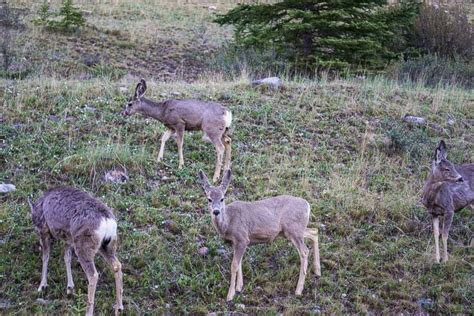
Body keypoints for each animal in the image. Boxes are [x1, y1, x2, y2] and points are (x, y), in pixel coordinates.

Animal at [28, 188, 123, 316]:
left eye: (34, 221)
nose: (36, 231)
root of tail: (107, 221)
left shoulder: (45, 231)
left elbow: (46, 257)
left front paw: (42, 285)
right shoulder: (68, 239)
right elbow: (67, 258)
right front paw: (70, 287)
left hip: (84, 245)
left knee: (93, 275)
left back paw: (88, 311)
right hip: (107, 245)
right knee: (117, 265)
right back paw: (119, 307)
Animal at [196, 169, 322, 300]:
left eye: (222, 198)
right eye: (209, 199)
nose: (216, 211)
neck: (228, 222)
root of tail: (307, 205)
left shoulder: (242, 238)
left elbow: (234, 265)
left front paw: (230, 295)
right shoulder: (236, 242)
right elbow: (239, 263)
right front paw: (239, 287)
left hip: (293, 229)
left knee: (304, 251)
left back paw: (298, 290)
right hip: (292, 230)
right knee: (314, 231)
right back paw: (317, 271)